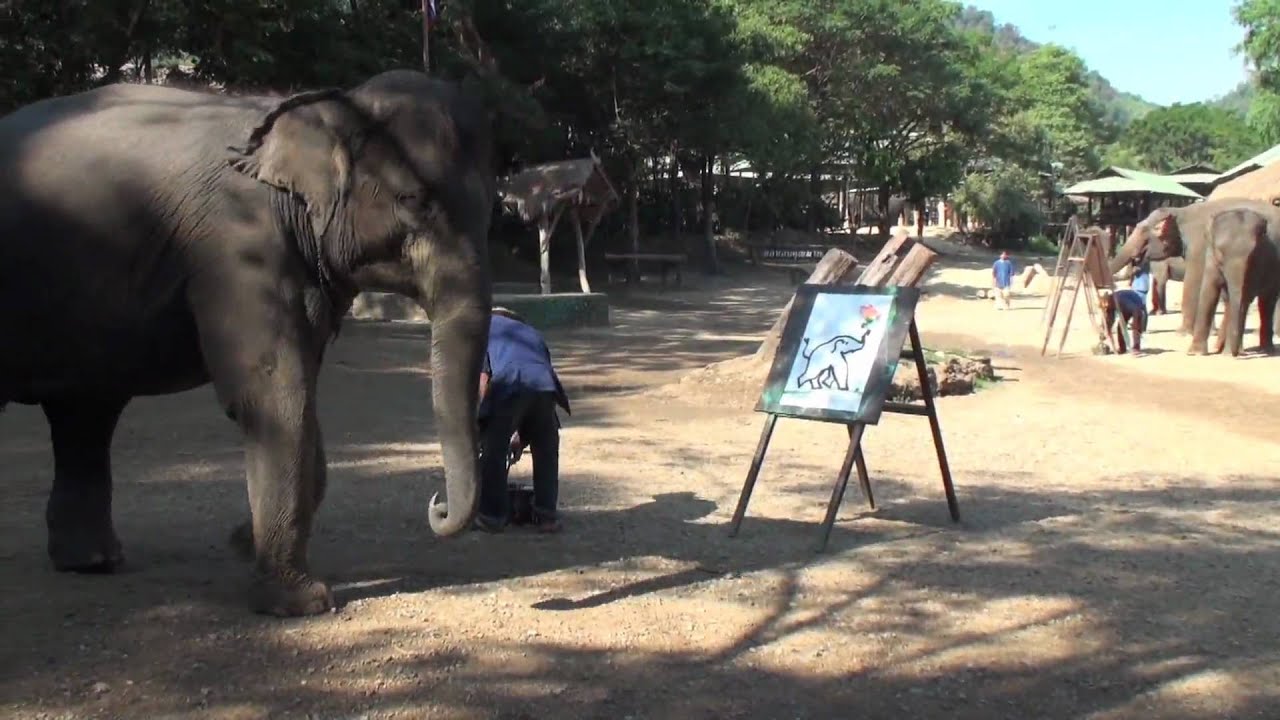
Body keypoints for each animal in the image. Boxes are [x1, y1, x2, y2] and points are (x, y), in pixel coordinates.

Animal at [0, 70, 496, 616]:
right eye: (412, 201)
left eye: (493, 210)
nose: (438, 505)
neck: (324, 106)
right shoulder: (238, 244)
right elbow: (275, 393)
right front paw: (301, 602)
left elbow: (300, 391)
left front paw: (244, 542)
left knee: (85, 415)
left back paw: (92, 563)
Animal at [1187, 208, 1280, 356]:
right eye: (1220, 251)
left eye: (1252, 254)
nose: (1236, 353)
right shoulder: (1211, 257)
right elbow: (1209, 291)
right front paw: (1195, 353)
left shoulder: (1259, 262)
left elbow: (1244, 297)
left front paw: (1229, 353)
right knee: (1230, 302)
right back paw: (1221, 348)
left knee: (1266, 302)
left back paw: (1265, 350)